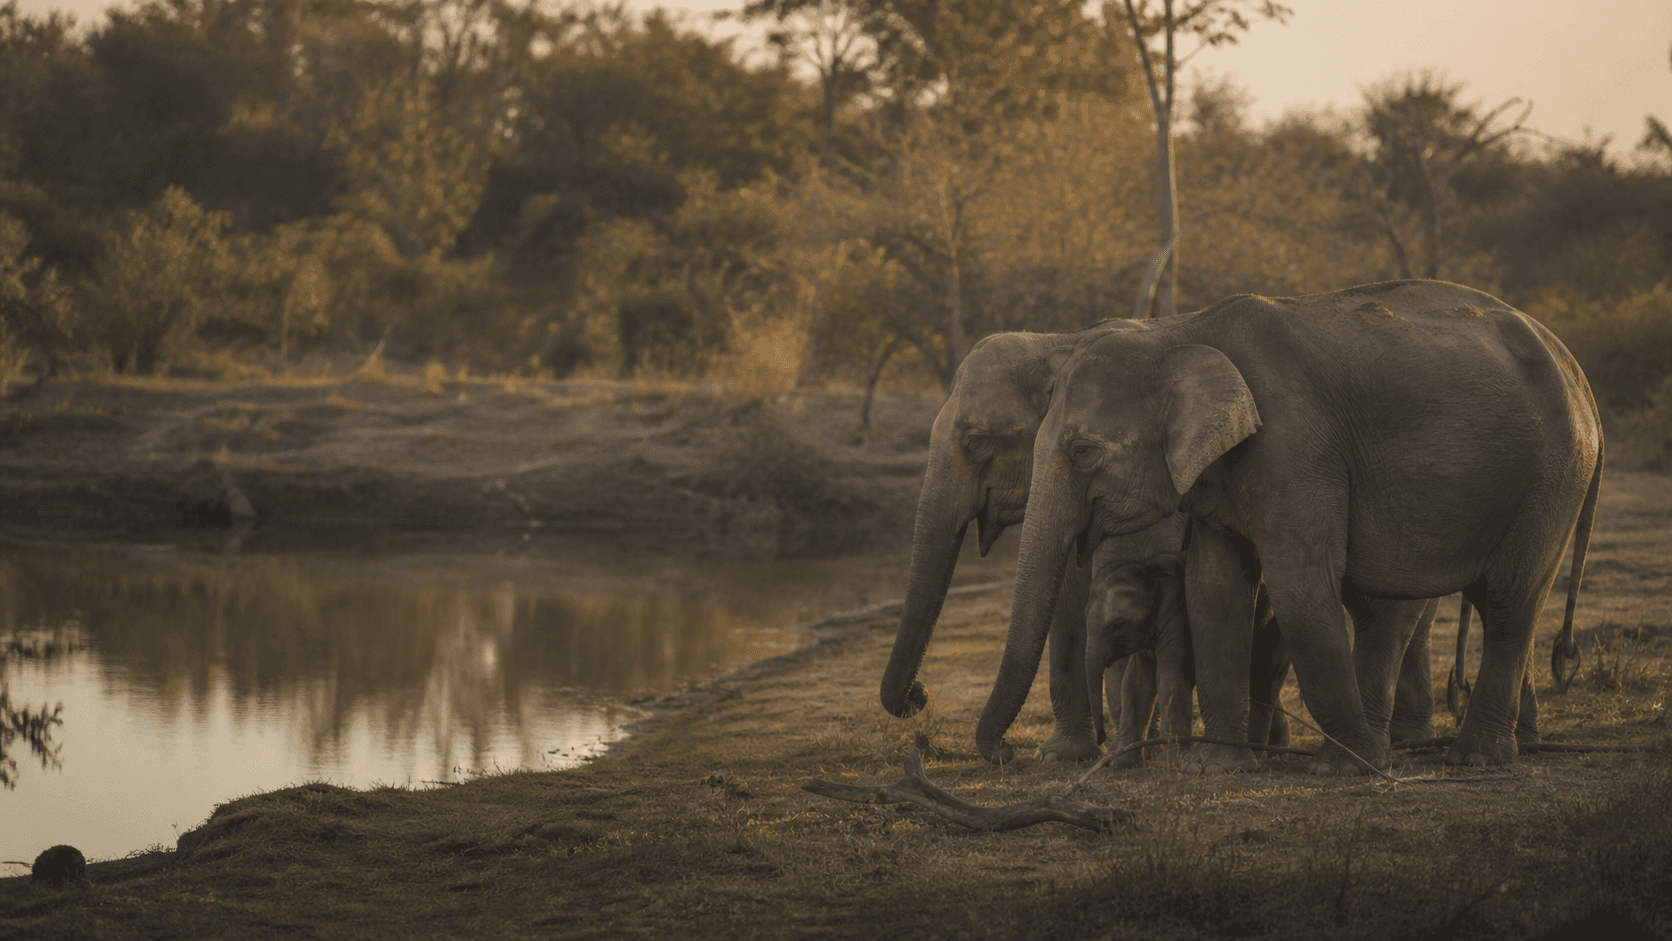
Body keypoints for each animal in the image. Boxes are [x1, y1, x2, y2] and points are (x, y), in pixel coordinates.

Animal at [978, 280, 1601, 774]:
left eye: (1083, 451)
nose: (1007, 754)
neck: (1179, 332)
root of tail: (1579, 374)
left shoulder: (1295, 449)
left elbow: (1299, 582)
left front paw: (1340, 771)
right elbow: (1213, 588)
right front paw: (1217, 767)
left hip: (1553, 474)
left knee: (1511, 597)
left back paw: (1475, 759)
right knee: (1452, 603)